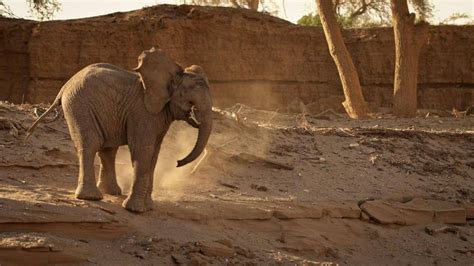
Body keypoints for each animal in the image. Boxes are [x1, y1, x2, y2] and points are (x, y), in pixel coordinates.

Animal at [25, 47, 211, 212]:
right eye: (190, 100)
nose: (178, 162)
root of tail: (65, 85)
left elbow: (154, 153)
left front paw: (149, 207)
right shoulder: (142, 112)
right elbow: (143, 151)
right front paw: (136, 210)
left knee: (108, 150)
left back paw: (111, 192)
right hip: (78, 105)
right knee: (90, 144)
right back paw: (91, 197)